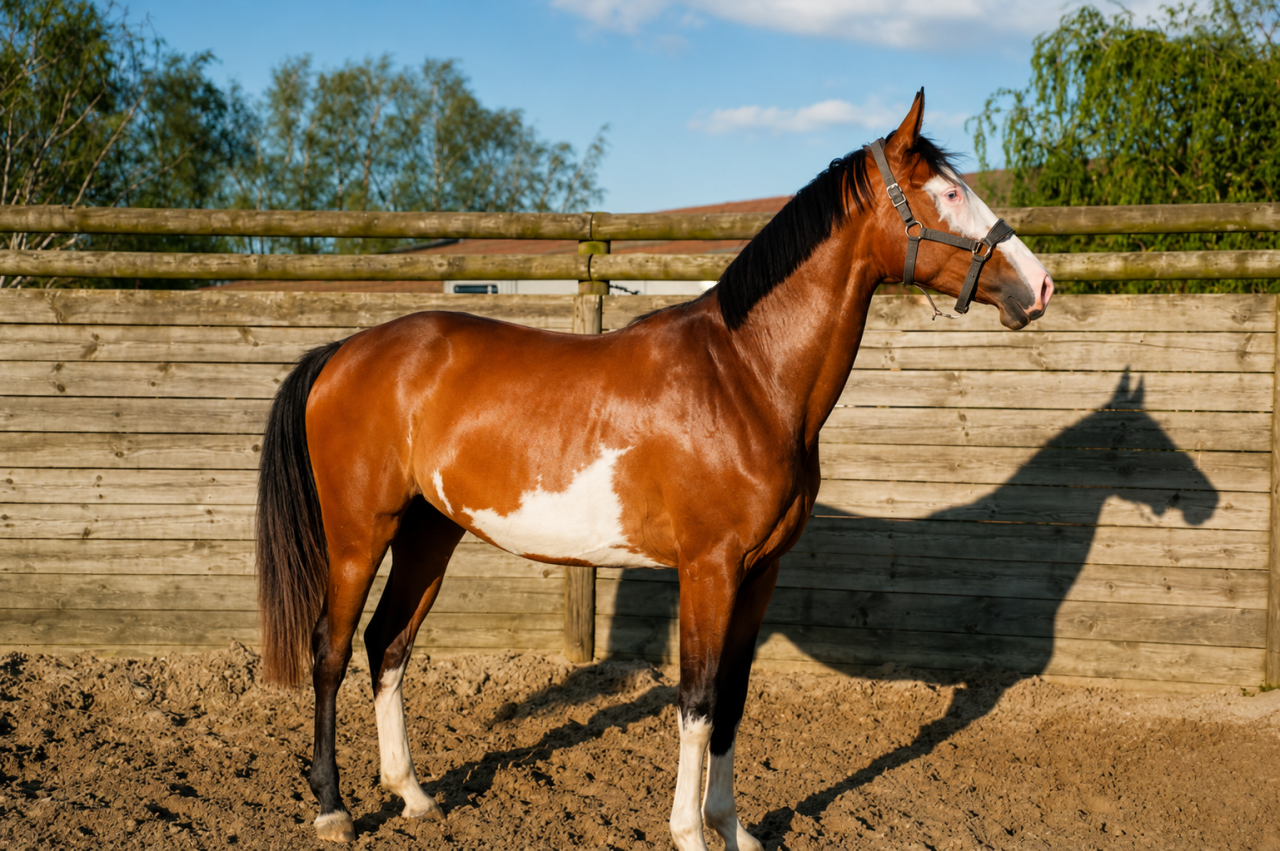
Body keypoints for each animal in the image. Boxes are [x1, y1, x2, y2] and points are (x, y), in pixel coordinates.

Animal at [255, 90, 1054, 850]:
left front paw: (734, 829)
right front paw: (688, 833)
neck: (746, 375)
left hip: (429, 534)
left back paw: (414, 795)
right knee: (330, 650)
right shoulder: (708, 570)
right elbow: (696, 704)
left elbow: (732, 700)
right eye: (946, 192)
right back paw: (333, 809)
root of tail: (345, 351)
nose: (1040, 286)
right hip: (359, 536)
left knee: (387, 645)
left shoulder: (759, 574)